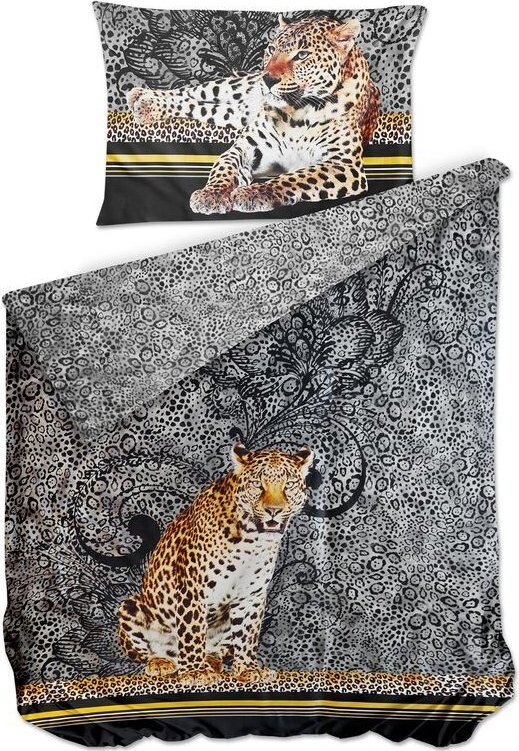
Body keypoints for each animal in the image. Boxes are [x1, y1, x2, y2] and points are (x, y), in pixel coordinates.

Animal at [117, 443, 314, 684]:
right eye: (258, 484)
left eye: (289, 485)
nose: (273, 511)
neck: (252, 540)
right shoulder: (192, 589)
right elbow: (192, 630)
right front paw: (194, 671)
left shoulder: (251, 595)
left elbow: (247, 633)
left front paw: (247, 668)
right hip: (130, 607)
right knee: (150, 652)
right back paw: (163, 662)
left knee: (219, 648)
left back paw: (211, 660)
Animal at [127, 14, 380, 214]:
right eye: (271, 49)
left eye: (302, 55)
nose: (267, 79)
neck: (299, 112)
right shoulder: (246, 146)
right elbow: (224, 167)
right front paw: (212, 194)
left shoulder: (344, 164)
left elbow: (296, 177)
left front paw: (255, 193)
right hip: (230, 87)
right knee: (189, 92)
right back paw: (144, 99)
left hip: (232, 113)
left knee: (199, 106)